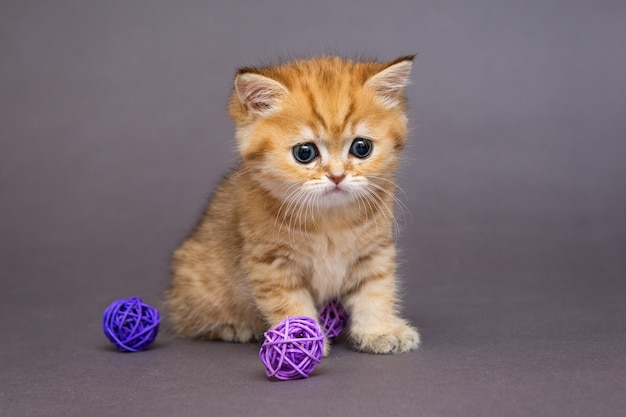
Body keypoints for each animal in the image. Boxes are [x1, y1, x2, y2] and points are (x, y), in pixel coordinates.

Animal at [166, 54, 420, 354]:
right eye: (305, 153)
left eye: (361, 148)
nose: (337, 176)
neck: (329, 220)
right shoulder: (272, 264)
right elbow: (289, 305)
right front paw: (299, 340)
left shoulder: (374, 252)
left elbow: (376, 292)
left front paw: (380, 331)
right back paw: (233, 326)